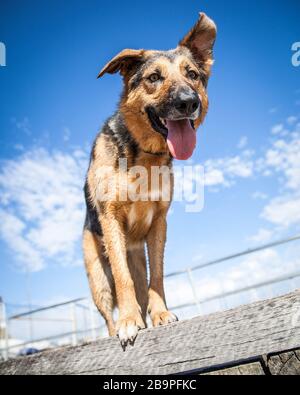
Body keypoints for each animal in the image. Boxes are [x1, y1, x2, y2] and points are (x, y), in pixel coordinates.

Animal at [83, 12, 217, 346]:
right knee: (108, 312)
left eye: (192, 74)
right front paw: (129, 321)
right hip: (97, 278)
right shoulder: (110, 219)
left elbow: (157, 275)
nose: (188, 102)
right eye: (153, 78)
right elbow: (122, 278)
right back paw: (118, 325)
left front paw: (160, 314)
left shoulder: (159, 222)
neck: (143, 154)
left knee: (143, 284)